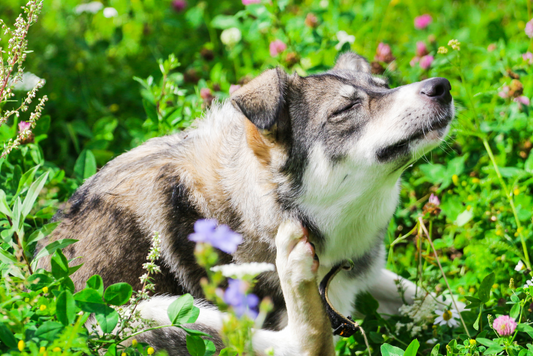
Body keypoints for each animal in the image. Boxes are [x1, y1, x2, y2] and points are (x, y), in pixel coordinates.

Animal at [38, 51, 454, 354]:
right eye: (344, 110)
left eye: (385, 86)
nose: (442, 86)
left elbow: (432, 298)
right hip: (140, 314)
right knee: (301, 345)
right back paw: (294, 269)